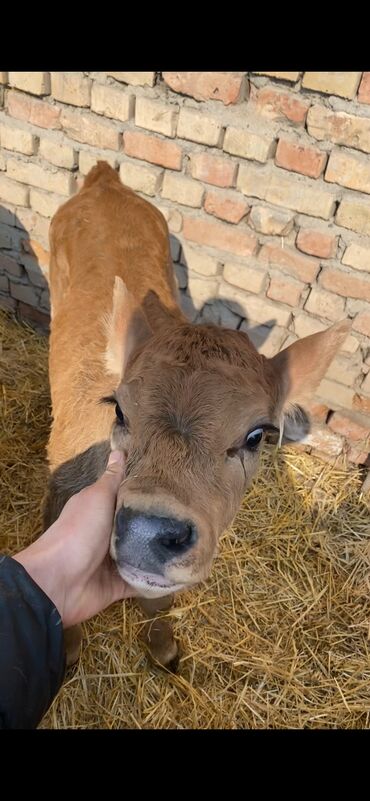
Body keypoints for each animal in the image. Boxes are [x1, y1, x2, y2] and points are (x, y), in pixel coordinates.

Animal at [44, 164, 352, 668]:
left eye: (257, 435)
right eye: (120, 409)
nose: (149, 531)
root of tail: (104, 178)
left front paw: (165, 649)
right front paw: (67, 654)